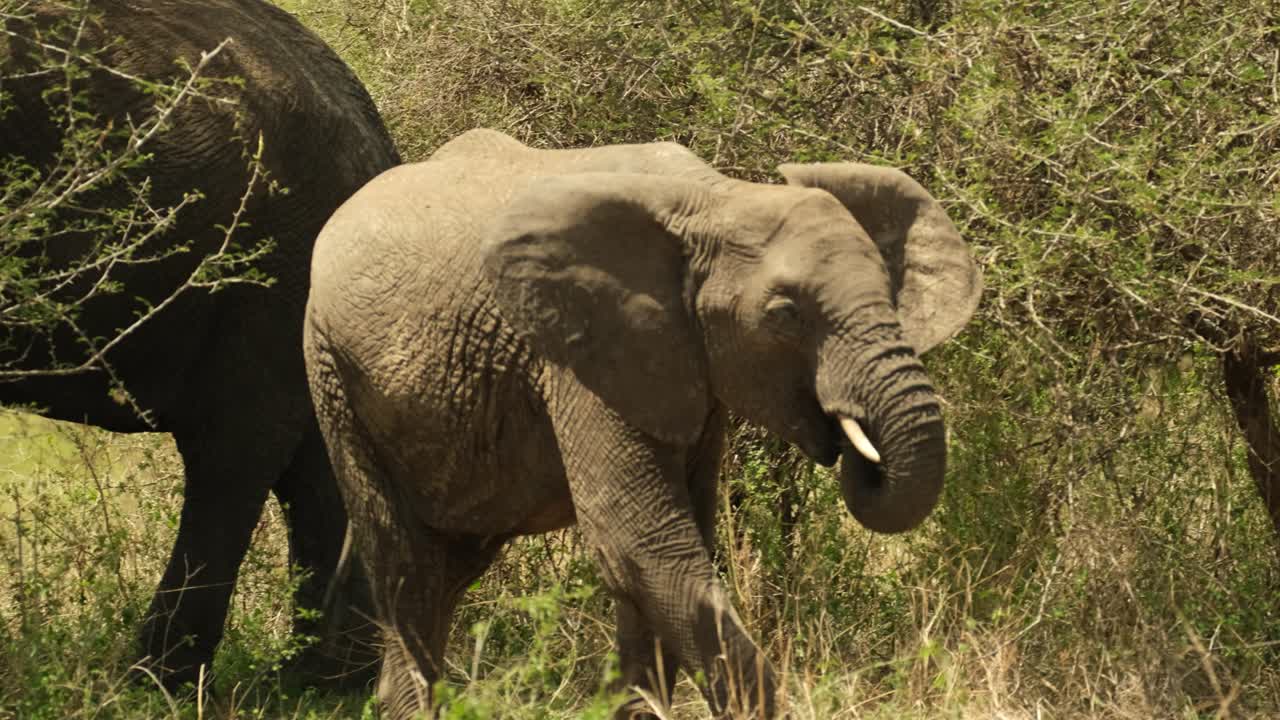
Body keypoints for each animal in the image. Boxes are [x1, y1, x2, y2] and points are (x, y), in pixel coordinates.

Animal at [303, 128, 981, 719]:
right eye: (786, 315)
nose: (853, 445)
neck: (718, 199)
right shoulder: (577, 352)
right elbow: (639, 540)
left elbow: (665, 554)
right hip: (331, 372)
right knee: (405, 567)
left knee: (446, 569)